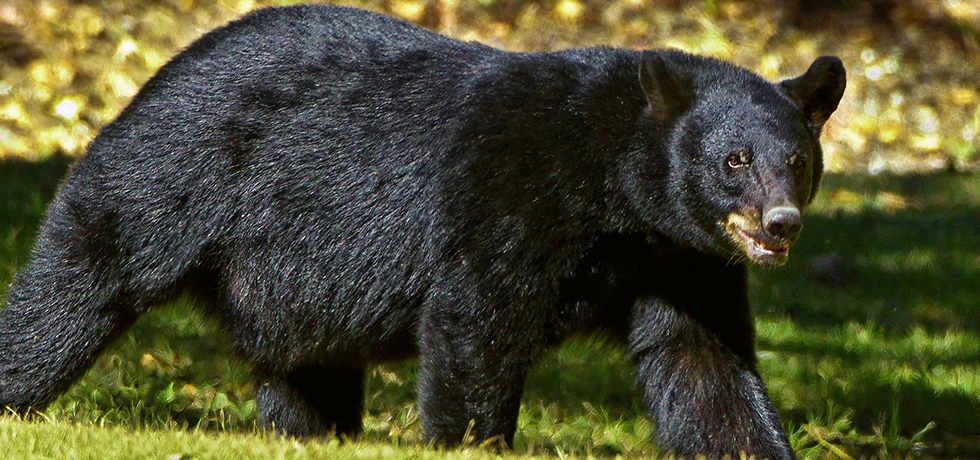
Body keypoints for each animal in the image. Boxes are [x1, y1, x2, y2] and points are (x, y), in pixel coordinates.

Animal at [0, 4, 844, 460]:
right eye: (734, 160)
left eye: (797, 161)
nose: (780, 223)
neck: (617, 192)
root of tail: (162, 68)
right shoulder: (512, 192)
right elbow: (476, 322)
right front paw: (475, 438)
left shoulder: (680, 257)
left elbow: (703, 363)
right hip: (171, 174)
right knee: (79, 285)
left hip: (291, 282)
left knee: (306, 368)